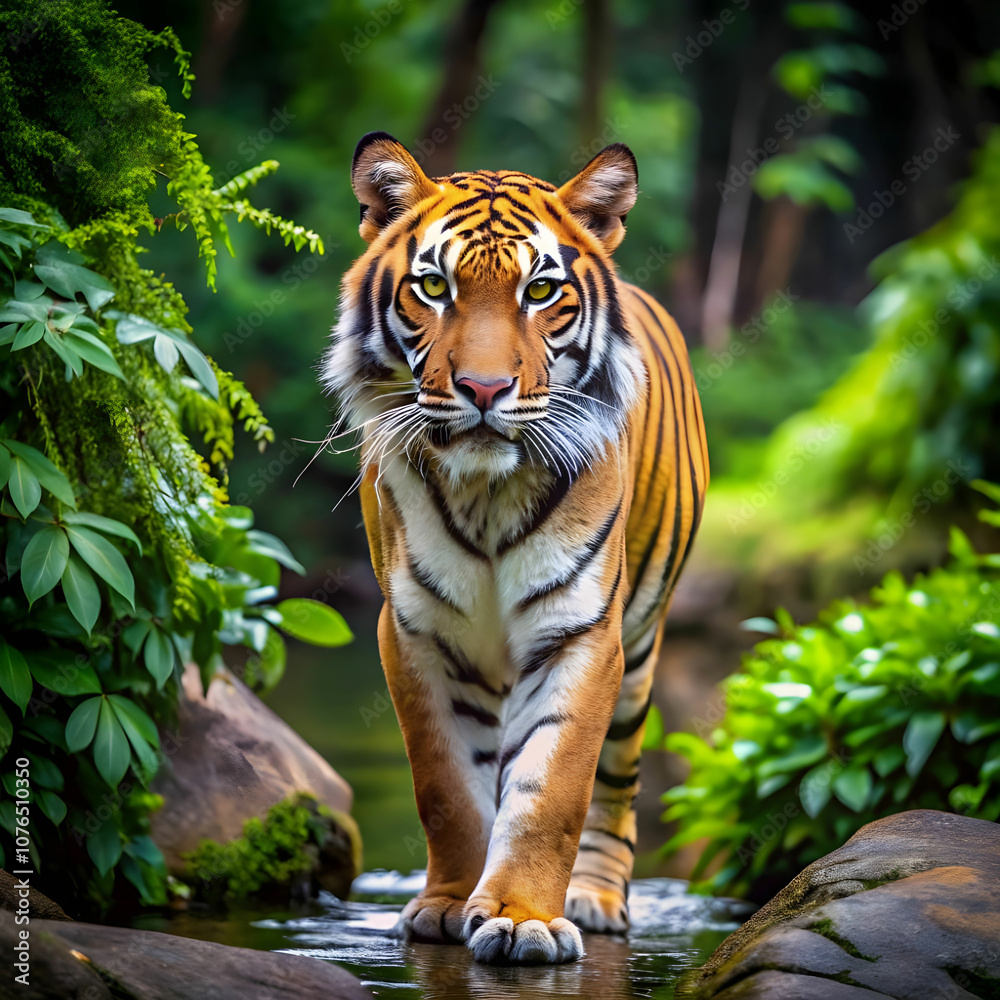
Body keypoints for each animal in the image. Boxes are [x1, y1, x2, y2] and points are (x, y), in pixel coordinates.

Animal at [322, 132, 708, 965]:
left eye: (540, 292)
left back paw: (596, 899)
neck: (486, 493)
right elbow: (445, 786)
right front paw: (445, 907)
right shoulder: (415, 632)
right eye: (433, 286)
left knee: (617, 786)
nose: (483, 388)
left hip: (641, 652)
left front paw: (523, 917)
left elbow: (552, 790)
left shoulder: (581, 633)